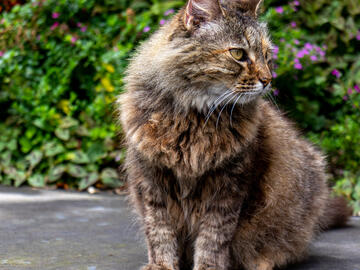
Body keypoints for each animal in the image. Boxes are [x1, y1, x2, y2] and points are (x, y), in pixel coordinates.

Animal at [119, 0, 352, 270]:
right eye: (238, 54)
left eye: (267, 56)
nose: (268, 79)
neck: (194, 118)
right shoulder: (152, 184)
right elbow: (160, 234)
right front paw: (161, 266)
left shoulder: (229, 188)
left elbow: (213, 238)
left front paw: (207, 267)